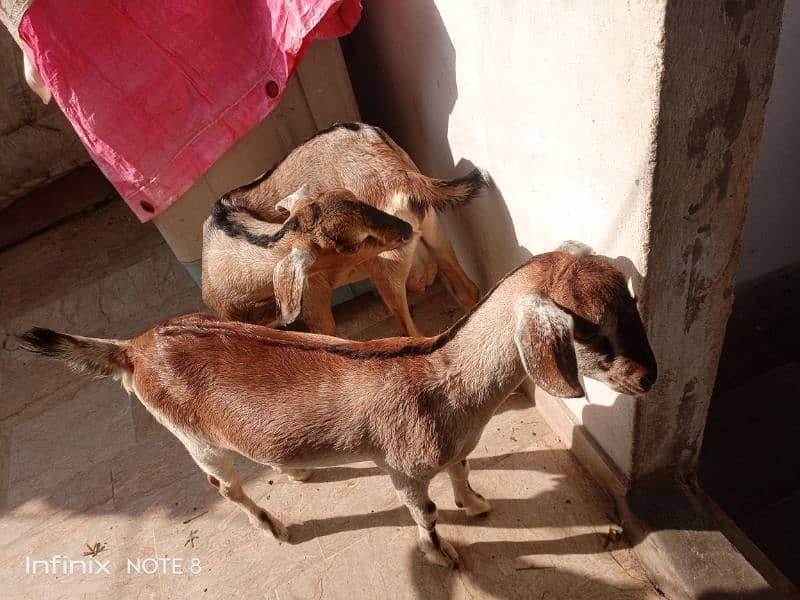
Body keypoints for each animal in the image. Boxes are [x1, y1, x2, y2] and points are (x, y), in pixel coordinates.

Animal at [18, 243, 656, 568]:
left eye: (631, 302)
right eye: (591, 329)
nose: (649, 377)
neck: (443, 377)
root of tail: (134, 348)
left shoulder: (454, 449)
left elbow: (464, 470)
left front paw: (475, 506)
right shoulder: (402, 468)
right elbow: (425, 513)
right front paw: (443, 555)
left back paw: (295, 469)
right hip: (193, 438)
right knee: (223, 485)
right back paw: (274, 527)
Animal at [202, 120, 488, 338]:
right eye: (349, 244)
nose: (404, 231)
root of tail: (397, 173)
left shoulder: (314, 303)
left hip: (385, 266)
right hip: (433, 229)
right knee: (467, 292)